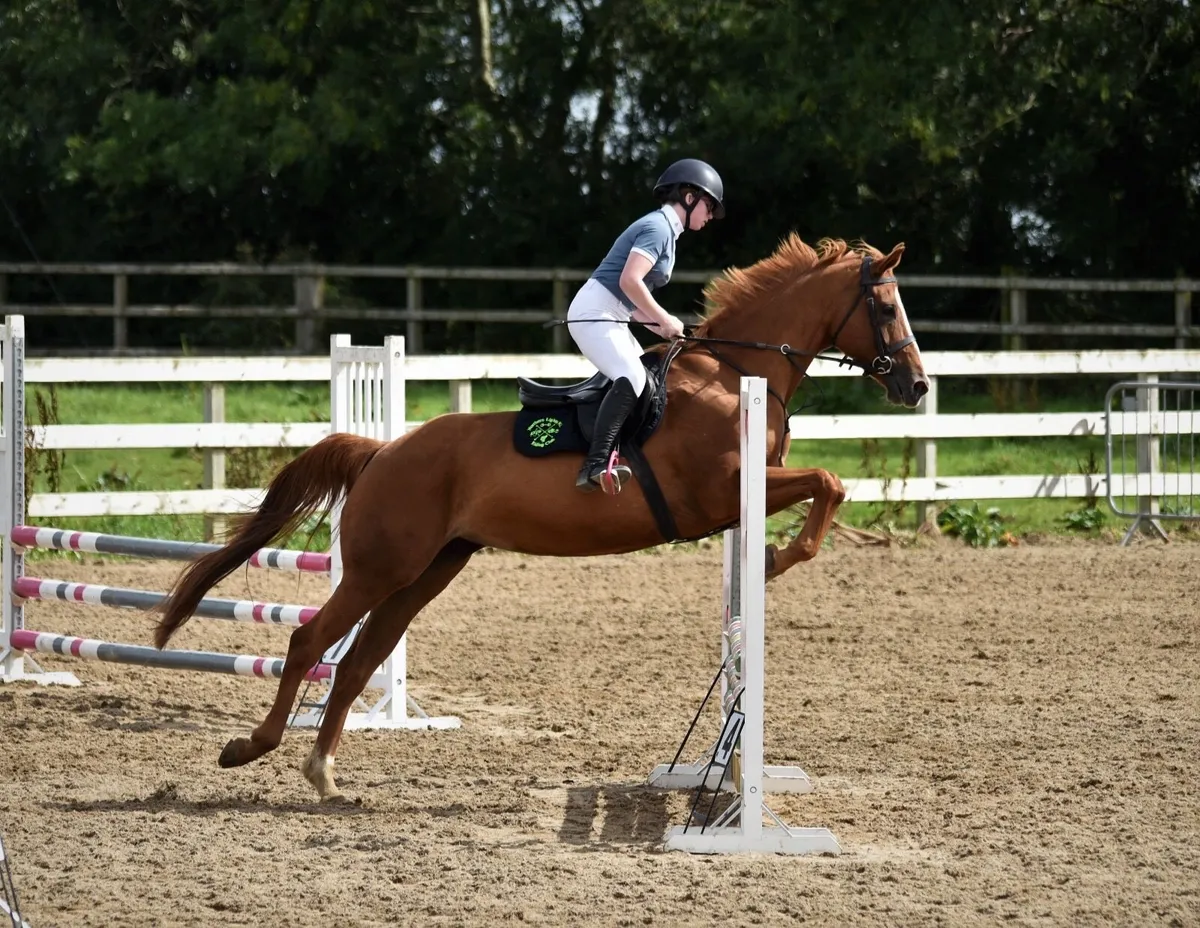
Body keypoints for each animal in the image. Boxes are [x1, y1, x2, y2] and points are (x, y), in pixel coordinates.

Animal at [153, 234, 929, 802]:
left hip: (426, 572)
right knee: (309, 641)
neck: (731, 375)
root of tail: (383, 451)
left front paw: (772, 559)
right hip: (380, 568)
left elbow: (827, 485)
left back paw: (324, 775)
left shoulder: (747, 489)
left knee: (359, 661)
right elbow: (828, 482)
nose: (917, 386)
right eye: (888, 308)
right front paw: (776, 558)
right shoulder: (724, 491)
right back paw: (250, 748)